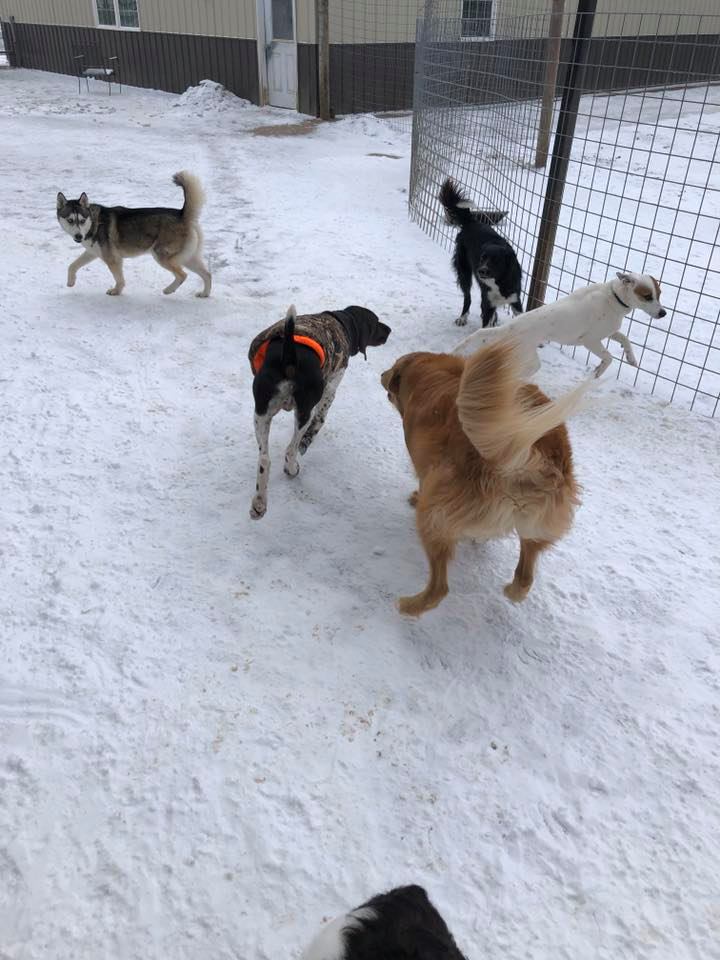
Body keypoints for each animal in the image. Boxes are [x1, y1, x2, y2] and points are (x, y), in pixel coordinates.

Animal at [56, 171, 212, 297]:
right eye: (70, 220)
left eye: (82, 221)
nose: (79, 236)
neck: (95, 222)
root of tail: (181, 214)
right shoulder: (92, 253)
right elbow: (72, 265)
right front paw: (71, 282)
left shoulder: (113, 259)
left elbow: (119, 279)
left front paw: (116, 291)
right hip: (187, 257)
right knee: (207, 274)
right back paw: (205, 294)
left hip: (161, 255)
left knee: (183, 275)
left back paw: (168, 290)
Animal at [248, 304, 391, 520]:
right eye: (376, 322)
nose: (389, 330)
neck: (341, 321)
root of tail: (288, 356)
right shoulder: (331, 388)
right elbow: (320, 419)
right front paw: (307, 441)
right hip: (303, 412)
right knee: (290, 450)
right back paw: (292, 469)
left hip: (261, 414)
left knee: (264, 459)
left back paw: (259, 505)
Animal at [381, 338, 591, 616]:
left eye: (393, 368)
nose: (381, 374)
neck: (437, 371)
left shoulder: (429, 470)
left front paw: (415, 496)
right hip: (537, 524)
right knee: (525, 577)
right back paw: (512, 589)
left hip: (435, 513)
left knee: (439, 589)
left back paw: (409, 605)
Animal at [439, 177, 523, 328]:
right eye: (482, 258)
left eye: (496, 261)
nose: (481, 271)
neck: (499, 281)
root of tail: (471, 222)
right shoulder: (487, 302)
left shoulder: (515, 299)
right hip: (464, 272)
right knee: (467, 297)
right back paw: (462, 318)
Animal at [454, 271, 667, 378]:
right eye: (647, 296)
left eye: (659, 294)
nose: (663, 313)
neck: (613, 296)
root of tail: (508, 328)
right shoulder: (591, 341)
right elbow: (608, 358)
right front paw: (599, 371)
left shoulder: (609, 331)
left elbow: (625, 339)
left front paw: (631, 358)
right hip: (530, 359)